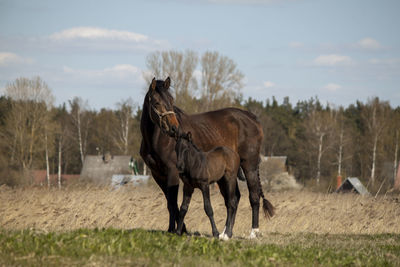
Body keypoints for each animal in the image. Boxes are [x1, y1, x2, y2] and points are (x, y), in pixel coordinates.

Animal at [139, 78, 274, 238]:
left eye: (171, 100)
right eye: (156, 102)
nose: (174, 128)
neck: (157, 139)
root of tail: (253, 118)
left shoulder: (172, 172)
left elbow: (172, 202)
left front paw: (174, 229)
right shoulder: (157, 174)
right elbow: (170, 202)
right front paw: (180, 229)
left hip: (249, 165)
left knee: (253, 196)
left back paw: (253, 232)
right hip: (226, 175)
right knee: (233, 198)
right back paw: (225, 232)